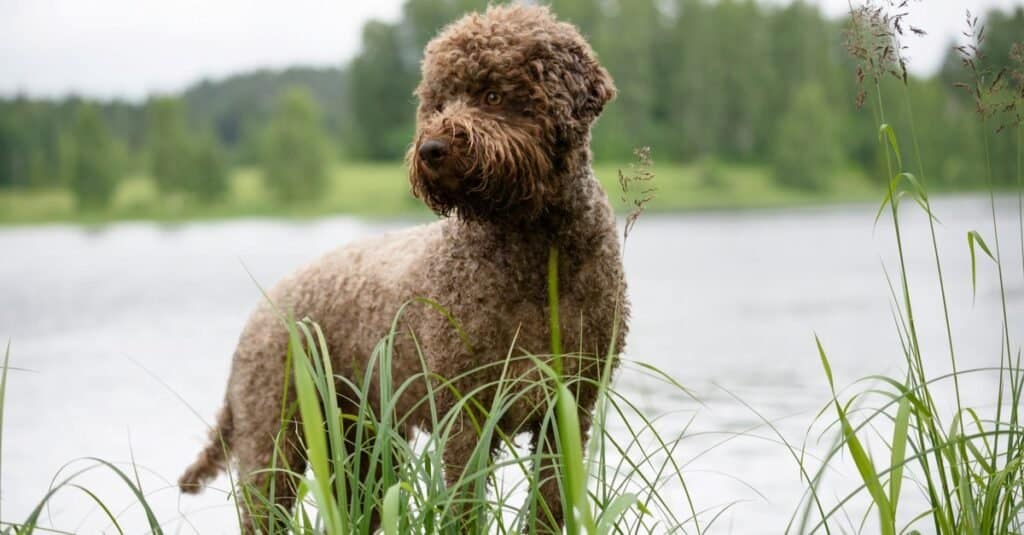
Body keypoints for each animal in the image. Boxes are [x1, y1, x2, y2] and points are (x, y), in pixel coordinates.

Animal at [181, 4, 626, 528]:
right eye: (438, 101)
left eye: (492, 94)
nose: (432, 148)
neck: (537, 257)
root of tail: (262, 308)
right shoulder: (465, 414)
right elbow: (466, 508)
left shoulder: (570, 407)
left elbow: (550, 506)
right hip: (275, 441)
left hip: (363, 450)